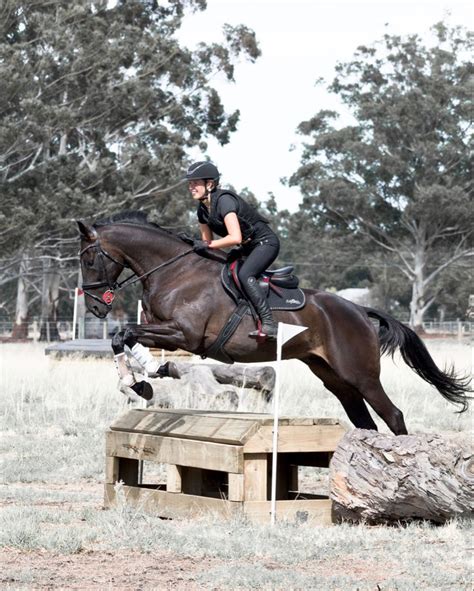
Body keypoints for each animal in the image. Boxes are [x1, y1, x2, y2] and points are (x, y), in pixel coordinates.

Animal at [78, 213, 470, 434]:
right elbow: (122, 338)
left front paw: (143, 379)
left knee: (394, 415)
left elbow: (126, 334)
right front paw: (141, 380)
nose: (95, 307)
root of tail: (360, 311)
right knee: (365, 420)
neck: (175, 271)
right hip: (334, 378)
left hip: (361, 375)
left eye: (88, 260)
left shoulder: (184, 335)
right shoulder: (166, 334)